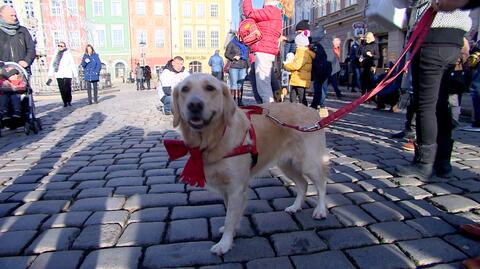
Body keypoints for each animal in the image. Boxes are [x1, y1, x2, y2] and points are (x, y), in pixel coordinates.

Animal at [171, 73, 328, 253]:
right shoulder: (227, 189)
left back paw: (320, 210)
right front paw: (232, 232)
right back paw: (295, 207)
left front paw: (224, 244)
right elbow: (231, 214)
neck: (214, 139)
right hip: (287, 164)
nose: (194, 105)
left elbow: (230, 217)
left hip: (309, 162)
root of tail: (312, 111)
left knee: (321, 184)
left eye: (210, 88)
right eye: (185, 89)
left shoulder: (236, 187)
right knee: (303, 184)